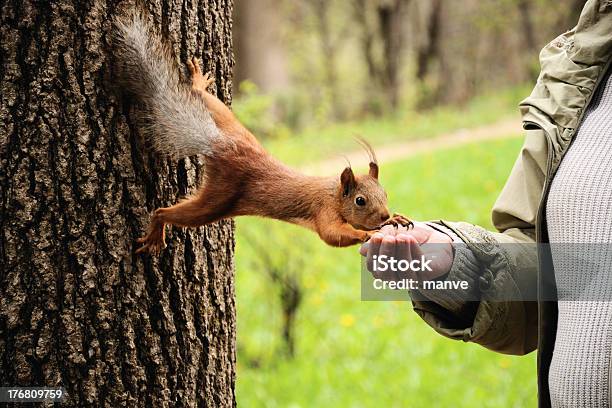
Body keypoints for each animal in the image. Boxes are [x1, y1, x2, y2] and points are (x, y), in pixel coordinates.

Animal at [115, 13, 412, 255]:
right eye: (360, 201)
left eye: (385, 193)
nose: (383, 215)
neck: (334, 193)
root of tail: (220, 144)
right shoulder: (323, 210)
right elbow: (331, 235)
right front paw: (366, 233)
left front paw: (394, 219)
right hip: (219, 197)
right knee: (166, 212)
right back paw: (156, 230)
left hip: (231, 124)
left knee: (206, 100)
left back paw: (198, 84)